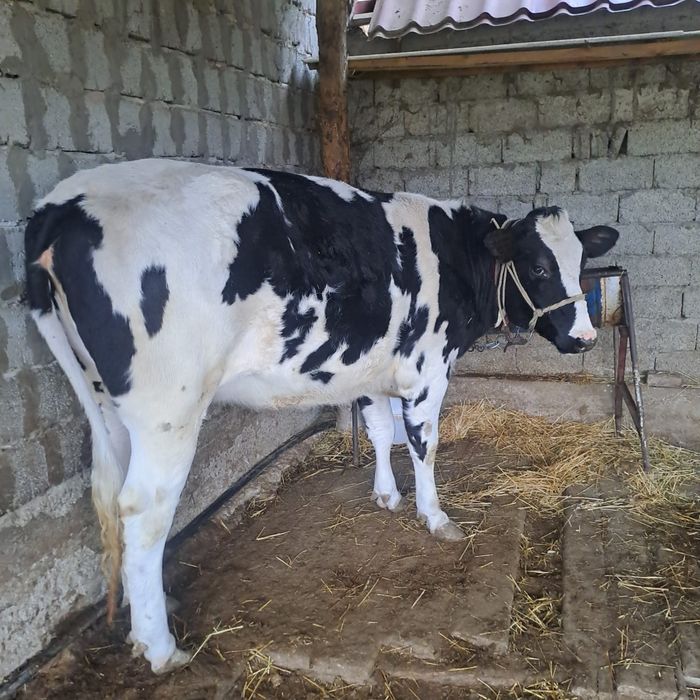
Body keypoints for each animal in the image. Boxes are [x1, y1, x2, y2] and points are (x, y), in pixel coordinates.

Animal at [24, 158, 618, 673]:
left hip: (108, 403)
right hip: (168, 408)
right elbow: (423, 441)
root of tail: (60, 202)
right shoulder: (427, 368)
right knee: (144, 512)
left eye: (583, 265)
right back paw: (160, 646)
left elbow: (379, 429)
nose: (586, 338)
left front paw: (386, 496)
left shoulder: (373, 367)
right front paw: (434, 515)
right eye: (538, 266)